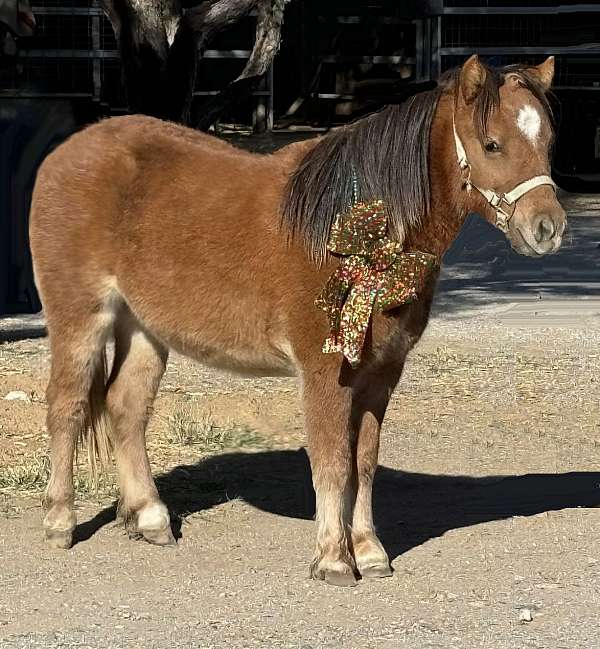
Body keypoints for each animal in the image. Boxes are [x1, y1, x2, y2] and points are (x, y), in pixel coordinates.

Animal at [29, 55, 568, 588]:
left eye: (547, 142)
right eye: (491, 144)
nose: (547, 228)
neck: (350, 227)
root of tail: (68, 152)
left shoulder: (380, 375)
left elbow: (363, 462)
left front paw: (369, 552)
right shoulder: (326, 371)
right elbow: (332, 463)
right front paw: (333, 560)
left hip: (144, 326)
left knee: (126, 406)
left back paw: (150, 518)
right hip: (80, 316)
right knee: (66, 406)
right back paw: (59, 522)